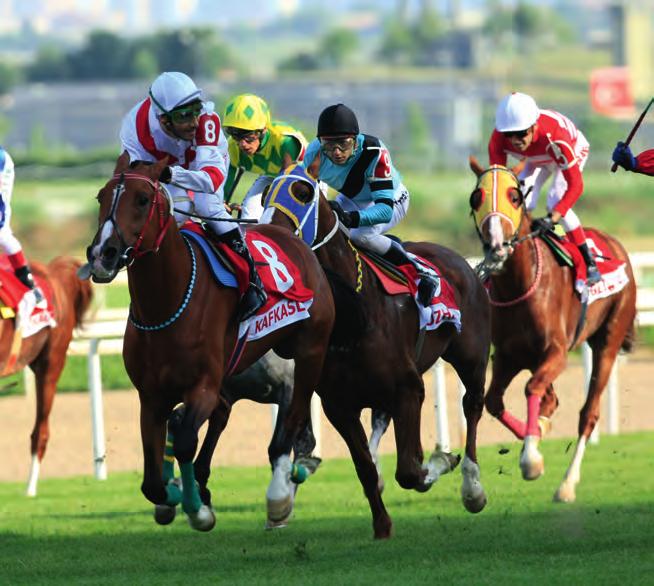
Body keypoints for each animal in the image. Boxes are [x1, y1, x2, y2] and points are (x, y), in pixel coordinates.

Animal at [84, 155, 336, 528]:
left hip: (310, 353)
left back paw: (283, 489)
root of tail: (290, 237)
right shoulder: (154, 396)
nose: (103, 254)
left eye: (143, 199)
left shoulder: (206, 386)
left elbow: (189, 440)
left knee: (294, 420)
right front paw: (175, 495)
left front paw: (198, 508)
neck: (168, 302)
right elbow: (153, 479)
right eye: (101, 197)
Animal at [262, 165, 492, 540]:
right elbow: (366, 469)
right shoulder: (339, 406)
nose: (271, 232)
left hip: (471, 358)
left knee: (472, 406)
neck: (353, 315)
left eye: (303, 193)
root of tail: (459, 260)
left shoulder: (409, 389)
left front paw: (441, 460)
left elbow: (410, 470)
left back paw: (472, 489)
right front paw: (382, 525)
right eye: (266, 191)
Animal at [468, 157, 640, 500]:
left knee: (588, 413)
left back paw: (567, 484)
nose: (496, 245)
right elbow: (495, 401)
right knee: (550, 399)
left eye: (514, 196)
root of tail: (616, 245)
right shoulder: (507, 355)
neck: (520, 284)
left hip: (608, 341)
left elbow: (532, 388)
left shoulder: (557, 352)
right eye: (476, 198)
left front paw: (531, 460)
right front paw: (536, 433)